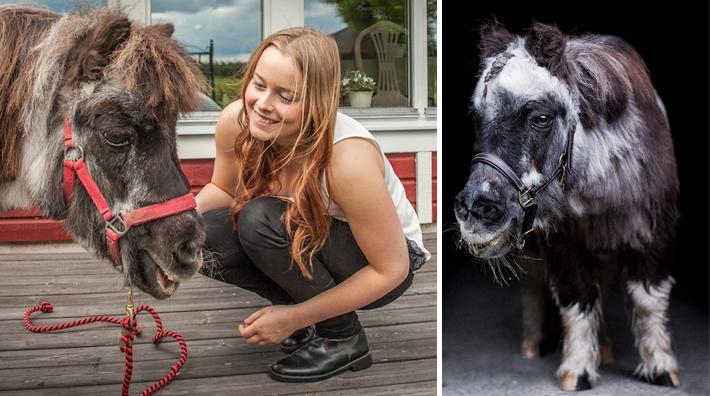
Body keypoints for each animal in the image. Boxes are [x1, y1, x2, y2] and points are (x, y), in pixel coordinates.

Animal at [456, 23, 684, 392]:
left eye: (542, 118)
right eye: (478, 116)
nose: (476, 210)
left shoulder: (654, 231)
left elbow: (648, 297)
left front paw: (661, 369)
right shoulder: (562, 240)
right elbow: (577, 296)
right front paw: (576, 372)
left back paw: (605, 348)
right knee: (533, 284)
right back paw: (534, 344)